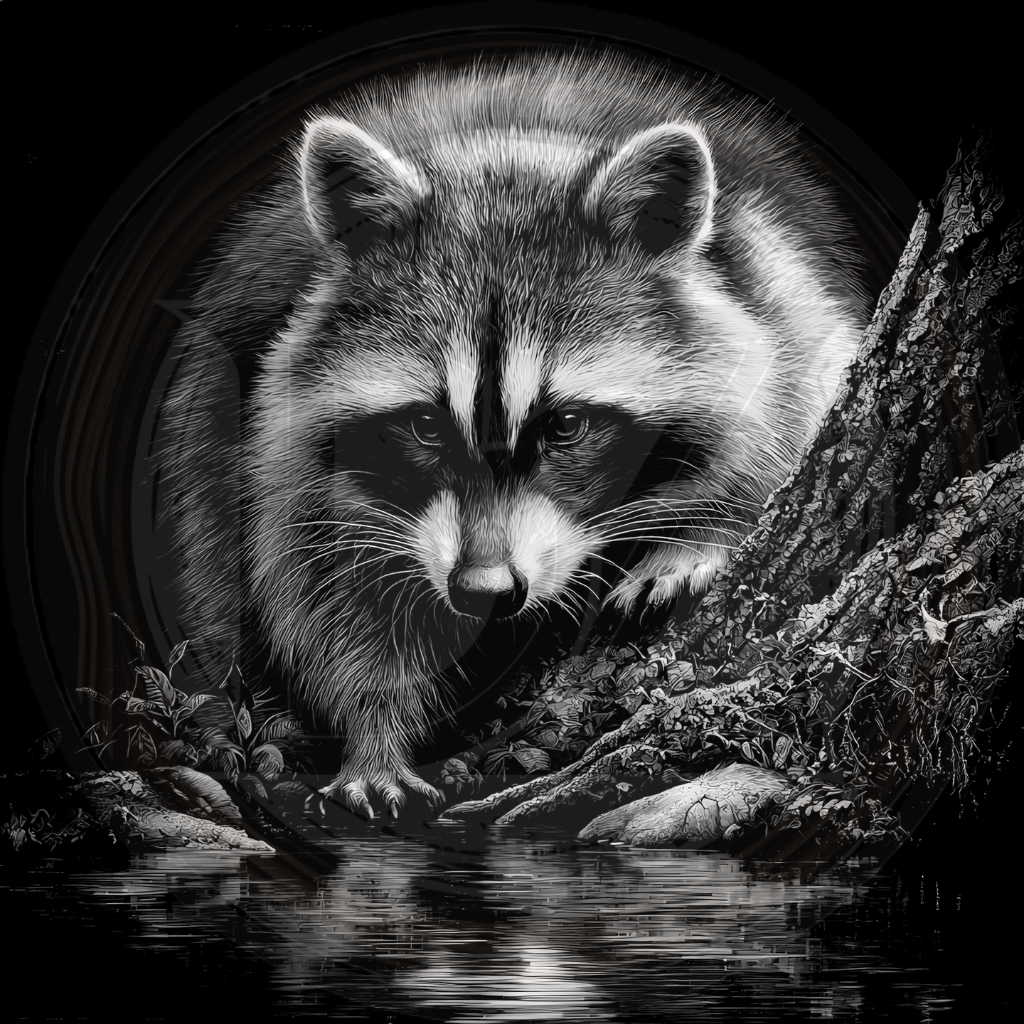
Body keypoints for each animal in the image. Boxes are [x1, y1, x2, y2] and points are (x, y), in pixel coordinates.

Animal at [159, 49, 870, 818]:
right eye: (425, 426)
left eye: (566, 425)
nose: (485, 589)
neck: (508, 148)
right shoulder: (285, 434)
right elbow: (322, 590)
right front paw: (374, 728)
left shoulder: (773, 294)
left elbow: (794, 419)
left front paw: (707, 530)